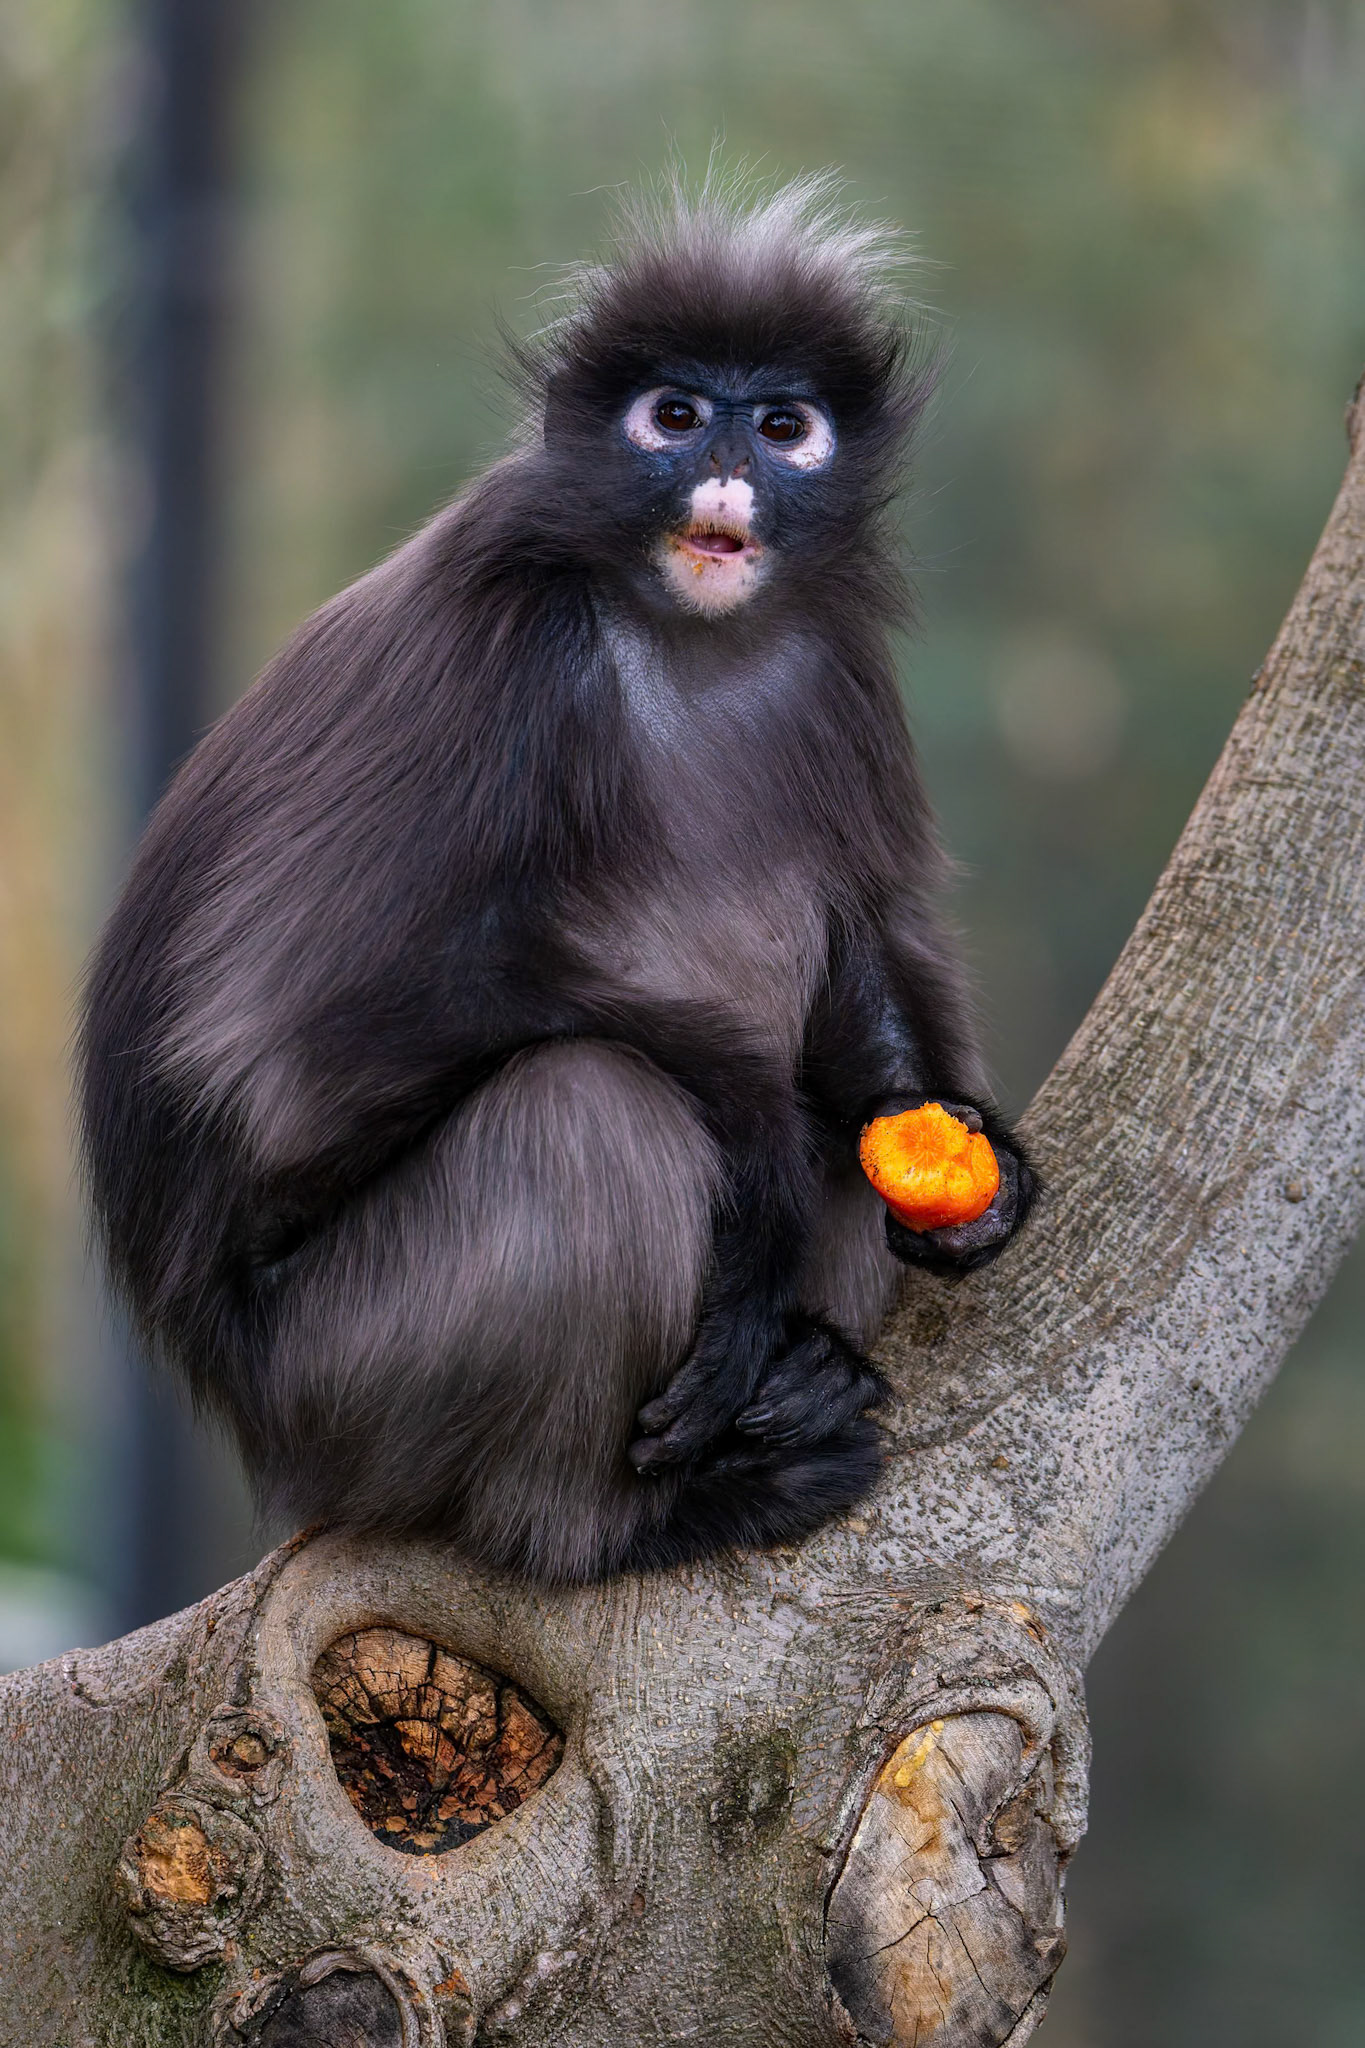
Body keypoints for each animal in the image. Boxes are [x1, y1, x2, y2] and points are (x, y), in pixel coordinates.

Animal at [78, 173, 1036, 1586]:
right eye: (675, 415)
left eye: (785, 426)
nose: (727, 469)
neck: (680, 633)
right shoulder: (499, 647)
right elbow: (279, 1039)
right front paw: (758, 1140)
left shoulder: (833, 657)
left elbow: (872, 936)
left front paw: (970, 1180)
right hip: (339, 1377)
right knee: (586, 1112)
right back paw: (616, 1522)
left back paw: (802, 1370)